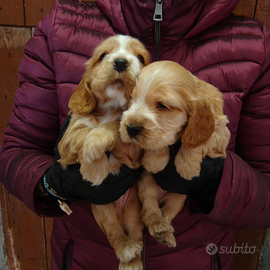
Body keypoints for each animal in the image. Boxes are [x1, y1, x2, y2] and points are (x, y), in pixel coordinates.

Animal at [58, 34, 150, 268]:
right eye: (103, 56)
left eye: (140, 57)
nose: (121, 62)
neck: (111, 108)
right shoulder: (66, 140)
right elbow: (83, 133)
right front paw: (94, 169)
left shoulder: (135, 153)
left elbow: (116, 126)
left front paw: (96, 146)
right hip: (101, 208)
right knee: (113, 231)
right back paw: (125, 248)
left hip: (134, 210)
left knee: (136, 236)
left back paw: (133, 259)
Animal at [120, 60, 230, 248]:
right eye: (132, 99)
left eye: (163, 106)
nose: (131, 128)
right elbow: (161, 140)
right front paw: (155, 160)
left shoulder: (222, 131)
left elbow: (201, 140)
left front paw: (187, 167)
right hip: (146, 184)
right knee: (150, 209)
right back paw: (158, 226)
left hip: (179, 198)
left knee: (167, 213)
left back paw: (166, 234)